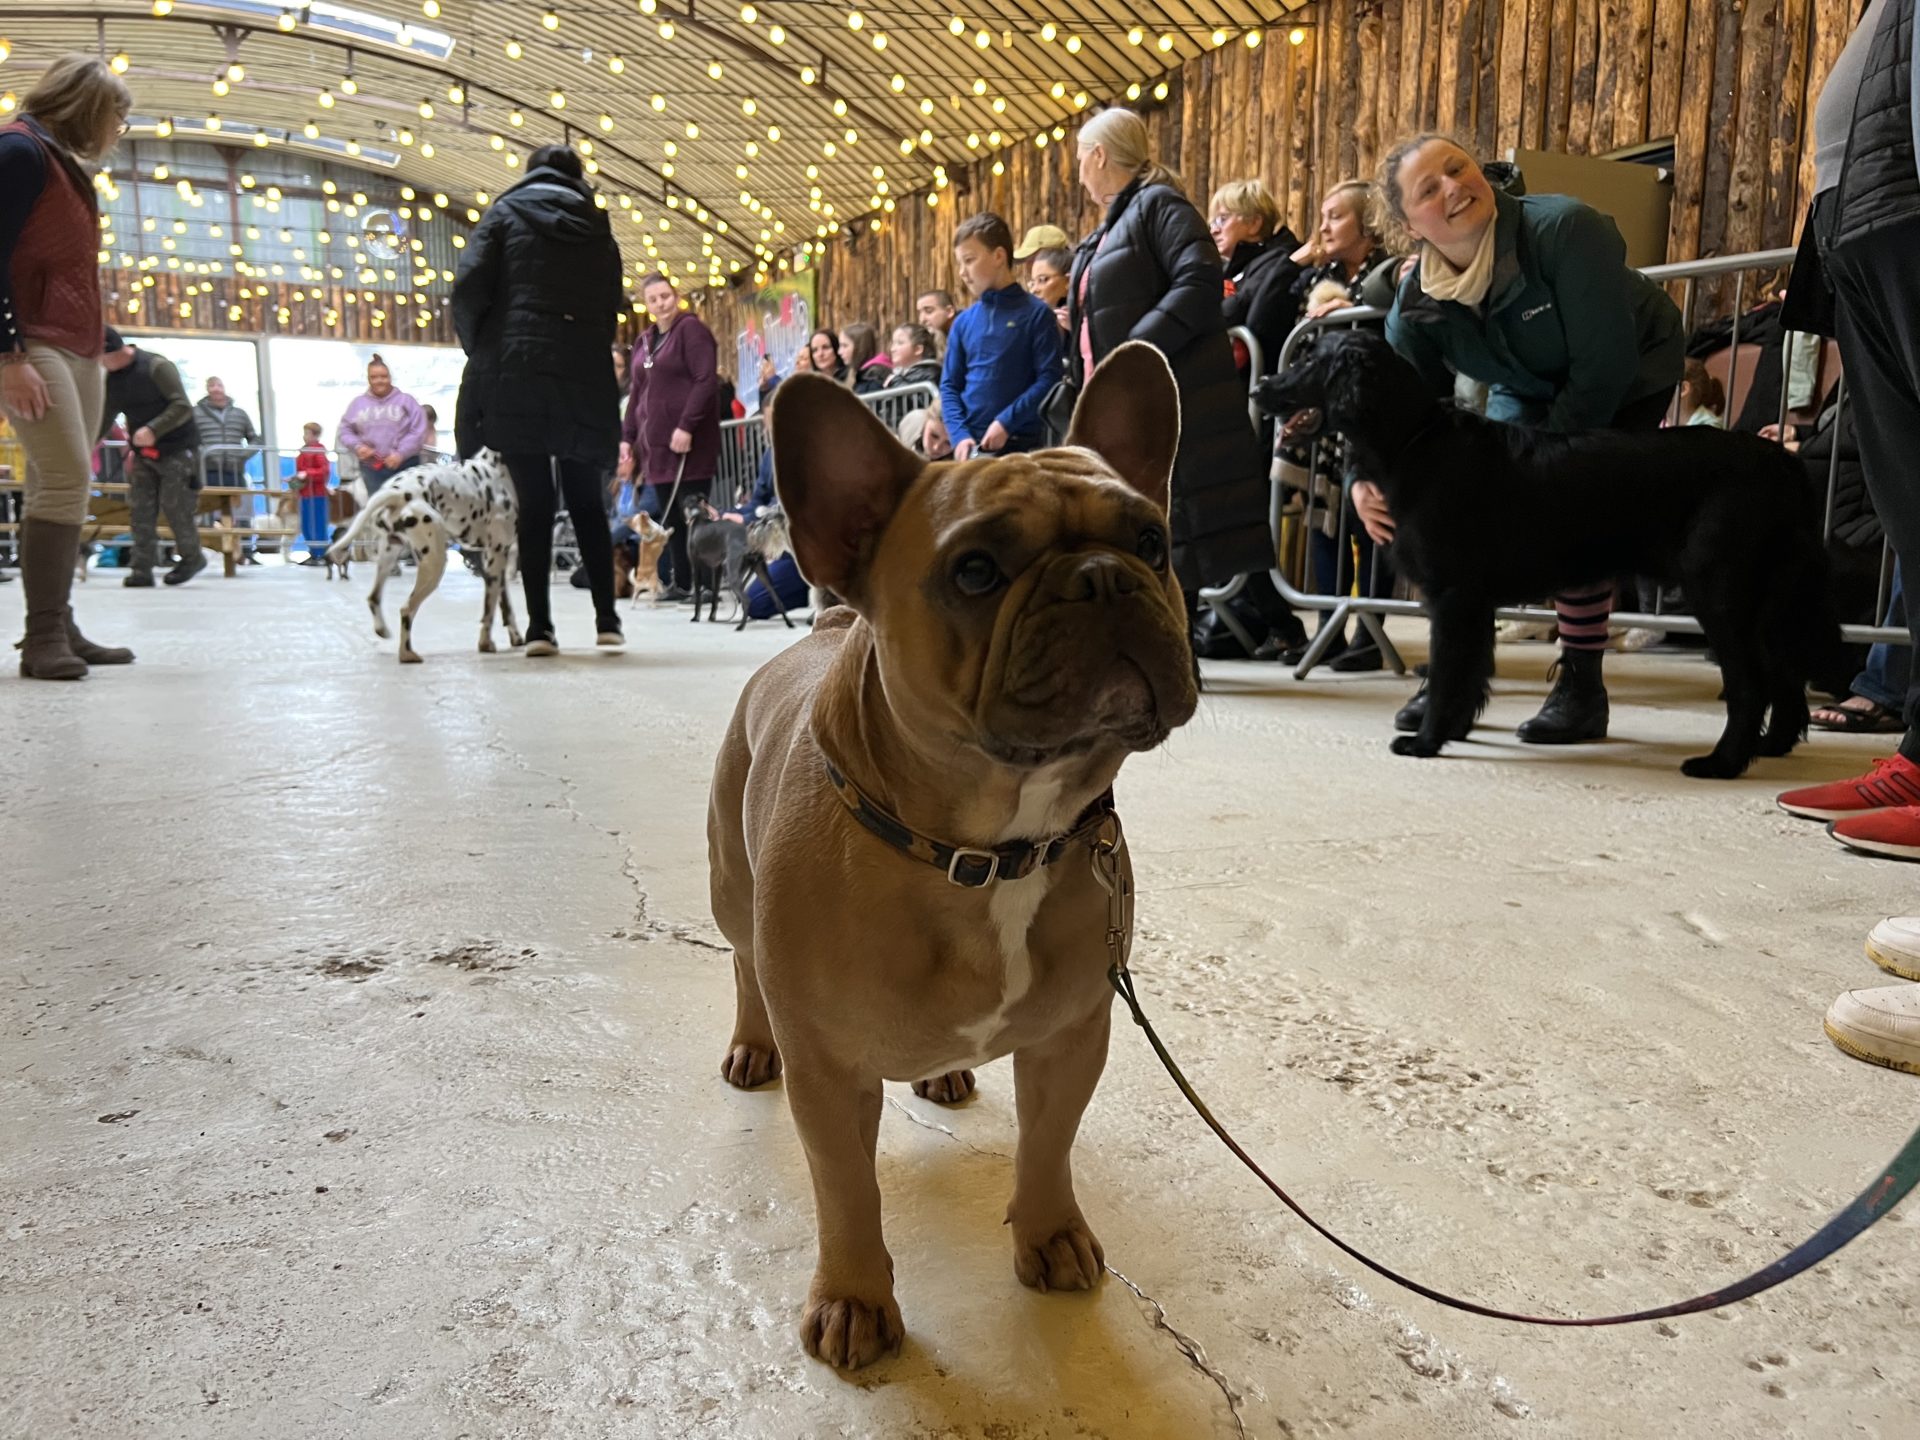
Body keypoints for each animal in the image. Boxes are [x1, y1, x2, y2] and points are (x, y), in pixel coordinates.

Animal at [326, 449, 521, 664]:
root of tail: (398, 492)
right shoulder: (496, 556)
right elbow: (489, 610)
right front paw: (486, 643)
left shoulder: (496, 561)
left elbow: (506, 608)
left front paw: (515, 637)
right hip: (435, 564)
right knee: (406, 609)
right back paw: (407, 654)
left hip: (388, 558)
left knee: (373, 598)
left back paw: (382, 630)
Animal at [681, 498, 796, 631]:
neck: (698, 515)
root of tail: (751, 542)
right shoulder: (717, 568)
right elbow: (715, 593)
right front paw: (712, 617)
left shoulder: (696, 565)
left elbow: (698, 594)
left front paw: (696, 617)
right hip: (759, 572)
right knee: (778, 601)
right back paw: (789, 623)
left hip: (732, 575)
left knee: (746, 600)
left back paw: (741, 626)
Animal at [707, 343, 1198, 1370]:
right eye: (975, 570)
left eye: (1154, 544)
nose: (1103, 576)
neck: (986, 849)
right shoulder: (829, 1073)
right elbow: (848, 1191)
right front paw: (854, 1299)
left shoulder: (1071, 1035)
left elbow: (1048, 1145)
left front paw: (1052, 1234)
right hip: (730, 884)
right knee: (739, 960)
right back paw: (750, 1044)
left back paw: (943, 1071)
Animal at [1256, 330, 1844, 777]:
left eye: (1307, 359)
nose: (1261, 386)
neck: (1413, 440)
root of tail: (1783, 463)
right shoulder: (1475, 602)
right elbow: (1471, 673)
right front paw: (1453, 730)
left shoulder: (1453, 596)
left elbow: (1448, 673)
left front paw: (1425, 741)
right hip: (1769, 602)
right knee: (1785, 675)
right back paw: (1770, 747)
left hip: (1718, 593)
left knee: (1750, 683)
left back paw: (1722, 762)